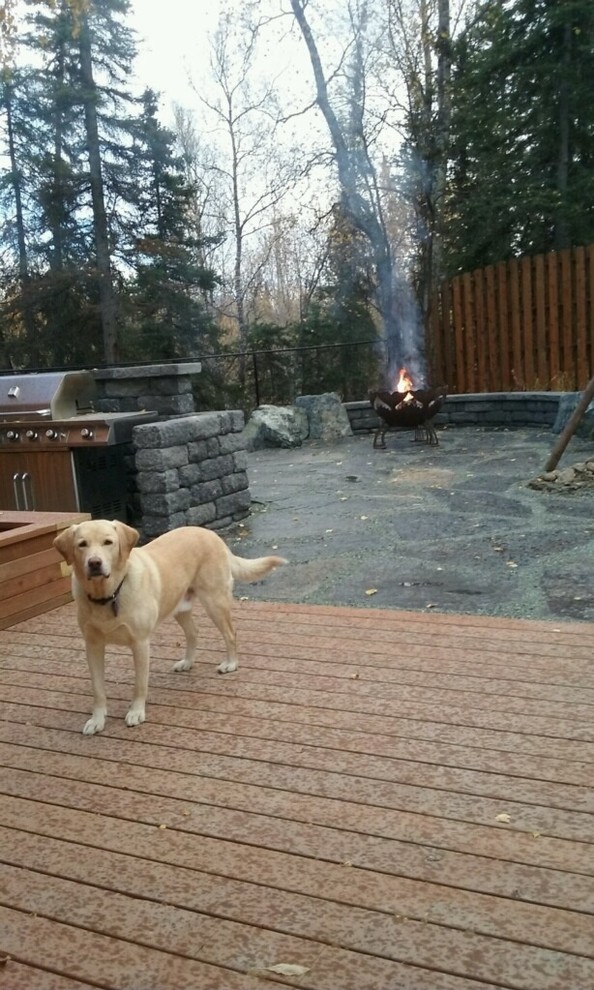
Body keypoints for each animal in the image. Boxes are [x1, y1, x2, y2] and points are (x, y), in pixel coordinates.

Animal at [54, 520, 286, 736]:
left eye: (108, 542)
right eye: (82, 544)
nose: (94, 563)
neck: (107, 595)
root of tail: (211, 534)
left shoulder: (140, 644)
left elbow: (140, 684)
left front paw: (136, 712)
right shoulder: (92, 646)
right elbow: (98, 689)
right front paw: (97, 720)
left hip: (215, 601)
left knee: (230, 633)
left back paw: (231, 663)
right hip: (180, 607)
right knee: (194, 633)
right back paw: (188, 662)